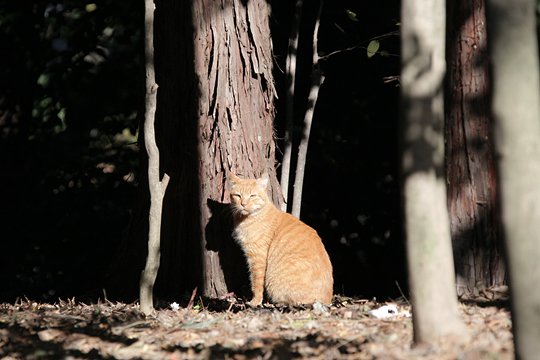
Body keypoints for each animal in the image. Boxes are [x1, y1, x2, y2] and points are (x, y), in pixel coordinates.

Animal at [228, 173, 334, 306]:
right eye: (238, 195)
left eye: (253, 196)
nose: (243, 204)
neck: (245, 219)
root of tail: (328, 300)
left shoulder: (257, 257)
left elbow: (256, 281)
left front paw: (255, 301)